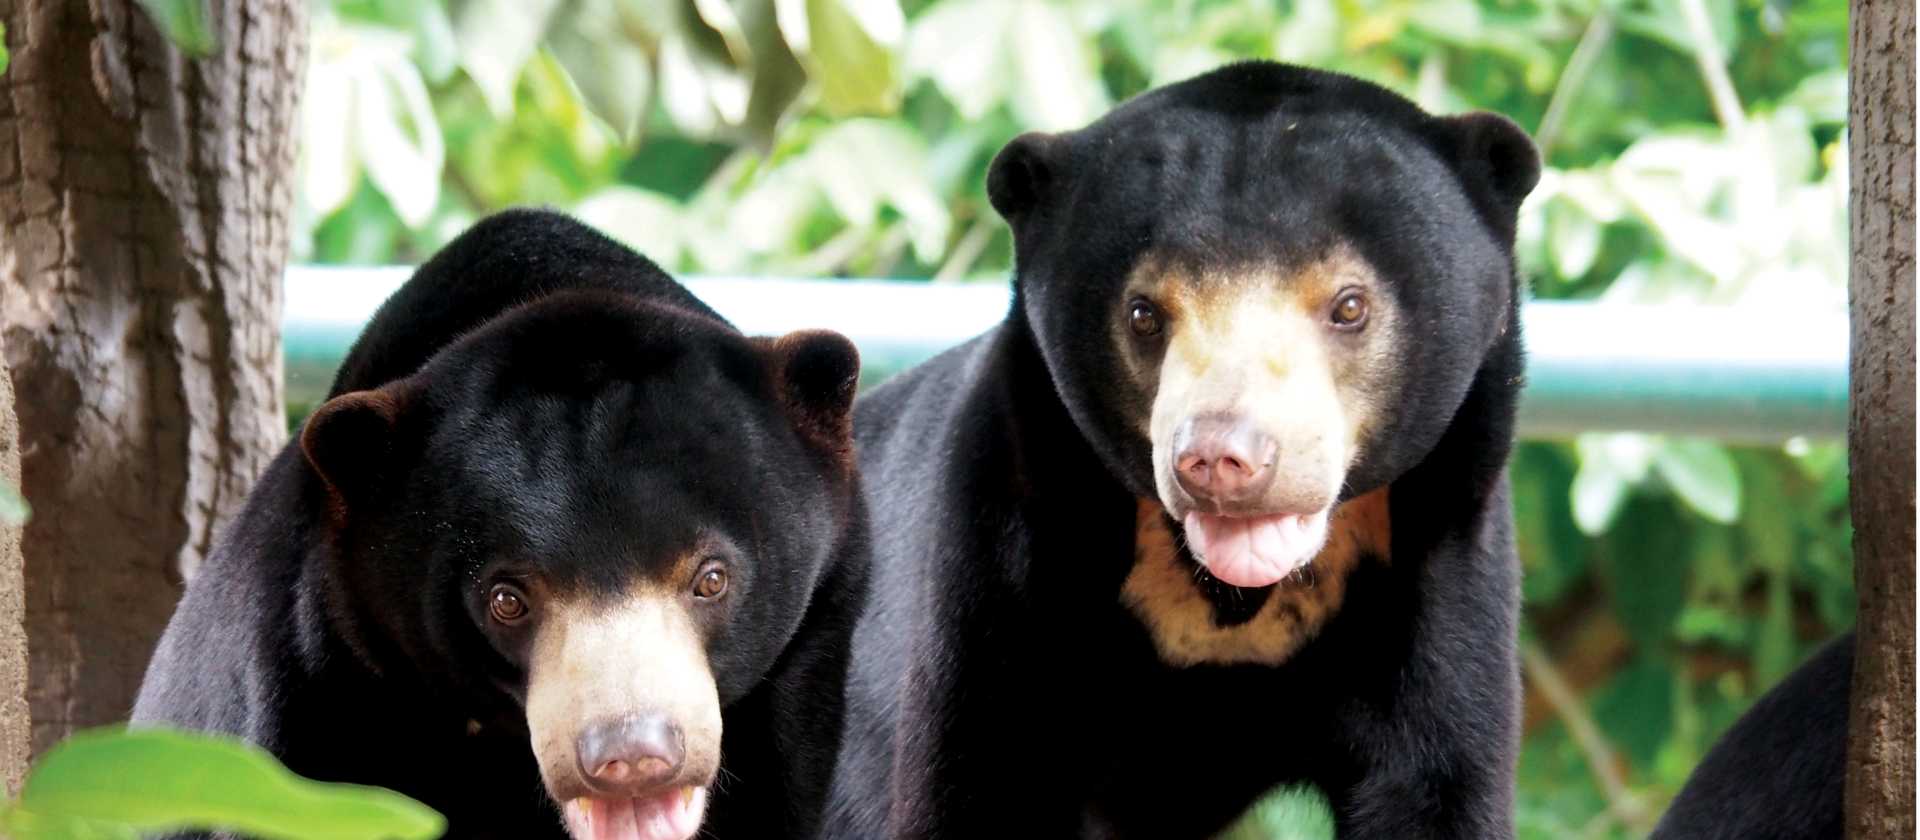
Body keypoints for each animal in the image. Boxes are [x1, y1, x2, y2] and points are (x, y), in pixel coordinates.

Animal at [822, 62, 1539, 839]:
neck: (1230, 597)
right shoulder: (1002, 551)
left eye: (1349, 305)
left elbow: (1437, 785)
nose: (1221, 459)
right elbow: (980, 781)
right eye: (1144, 313)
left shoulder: (1440, 563)